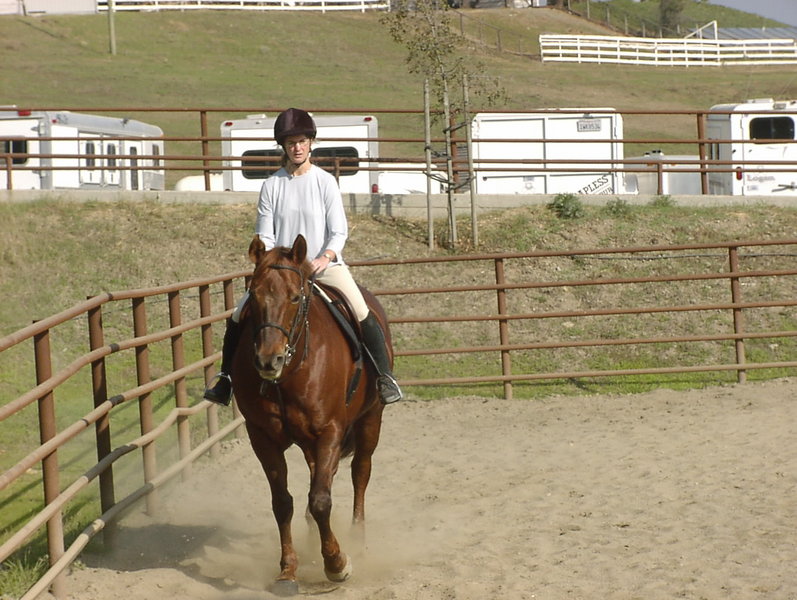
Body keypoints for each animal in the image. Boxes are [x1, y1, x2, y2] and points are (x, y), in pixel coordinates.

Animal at [230, 234, 388, 594]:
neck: (291, 372)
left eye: (294, 296)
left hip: (370, 419)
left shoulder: (330, 430)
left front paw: (337, 564)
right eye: (254, 295)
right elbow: (282, 502)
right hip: (308, 442)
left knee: (360, 473)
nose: (268, 360)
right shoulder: (262, 438)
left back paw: (357, 540)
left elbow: (321, 500)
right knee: (321, 476)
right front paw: (288, 570)